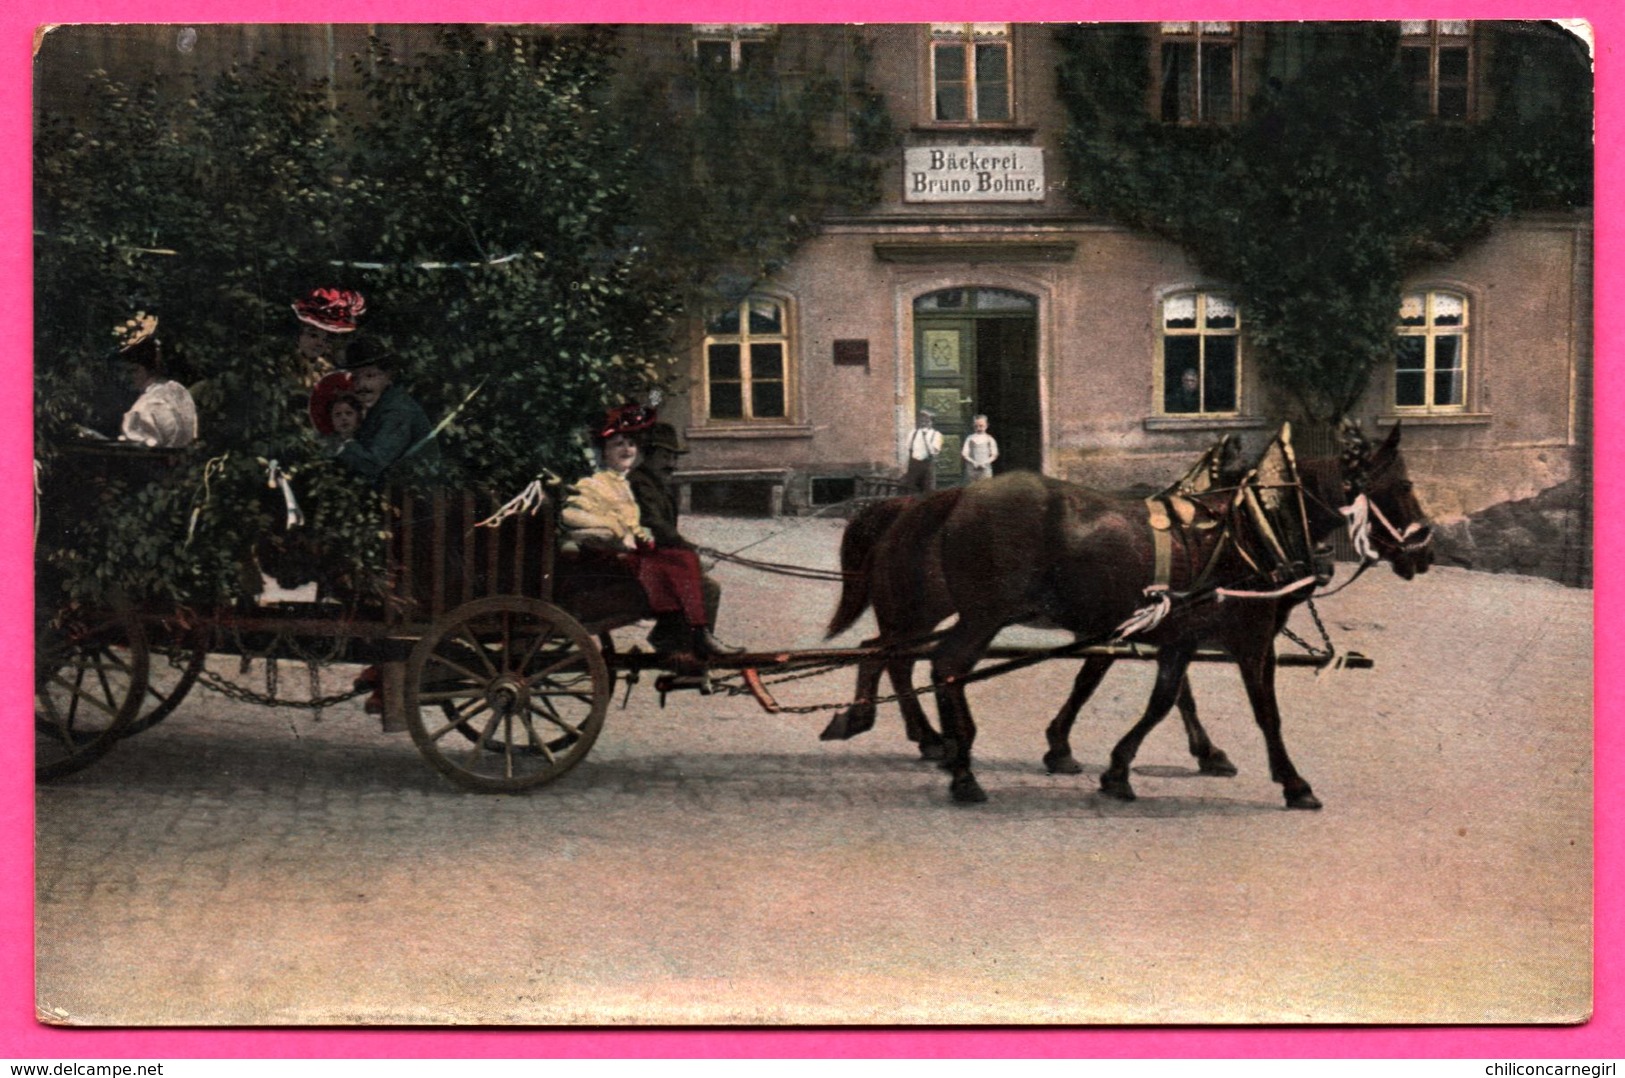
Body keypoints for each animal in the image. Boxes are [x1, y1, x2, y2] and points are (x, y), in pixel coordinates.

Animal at [832, 425, 1430, 806]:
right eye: (1402, 486)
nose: (1424, 552)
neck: (1250, 528)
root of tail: (952, 498)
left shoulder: (1174, 635)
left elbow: (1161, 697)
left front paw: (1116, 766)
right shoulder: (1251, 640)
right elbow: (1265, 714)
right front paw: (1294, 783)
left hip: (938, 613)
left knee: (894, 655)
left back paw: (923, 737)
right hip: (977, 616)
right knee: (937, 664)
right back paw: (956, 763)